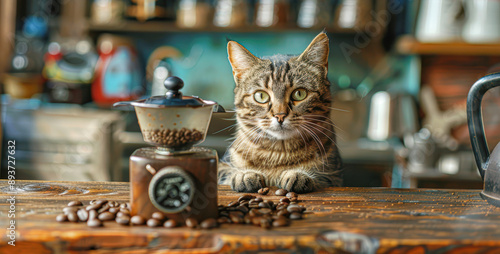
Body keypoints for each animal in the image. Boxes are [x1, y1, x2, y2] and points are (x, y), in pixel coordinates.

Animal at [219, 32, 344, 193]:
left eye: (299, 94)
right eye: (261, 96)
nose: (280, 115)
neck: (277, 154)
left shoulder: (335, 176)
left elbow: (321, 177)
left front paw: (298, 174)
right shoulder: (222, 165)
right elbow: (226, 173)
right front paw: (244, 174)